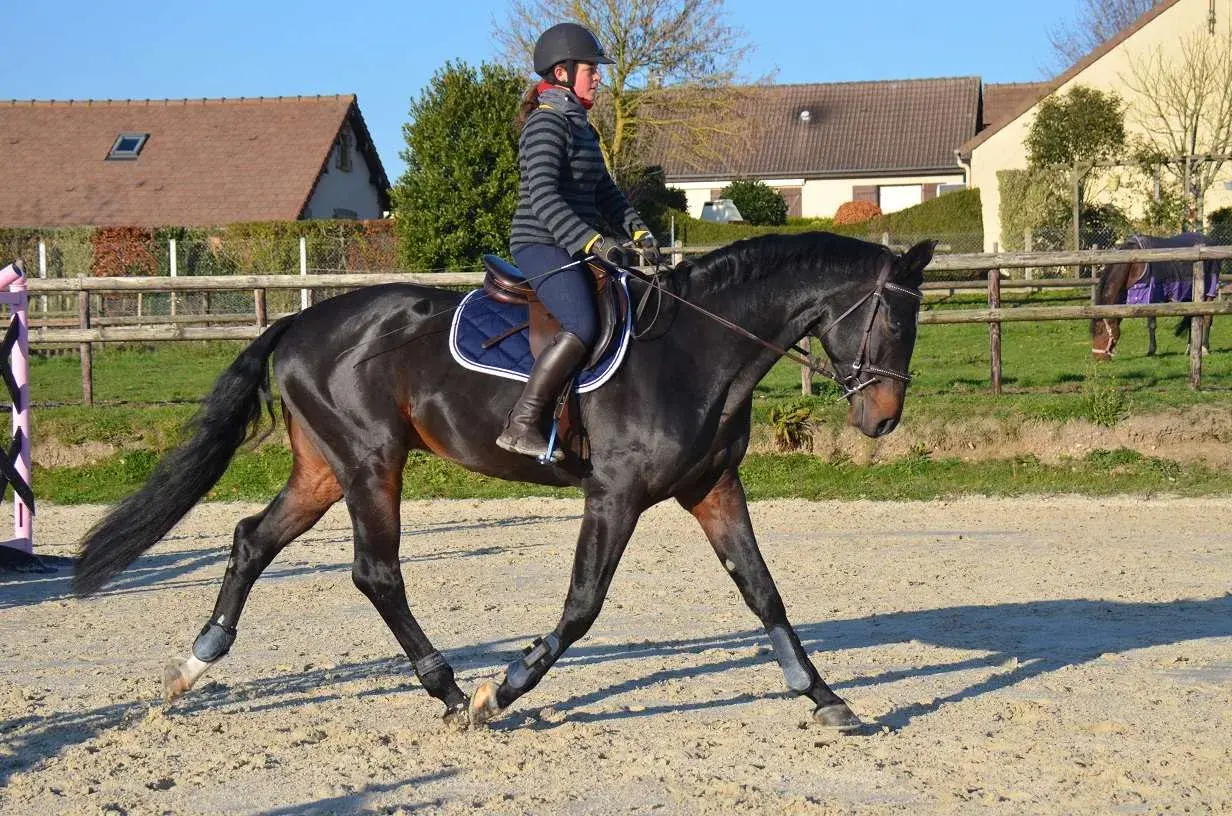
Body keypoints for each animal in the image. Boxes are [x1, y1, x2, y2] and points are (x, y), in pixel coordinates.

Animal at [71, 232, 935, 732]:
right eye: (894, 320)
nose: (884, 419)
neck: (696, 349)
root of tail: (299, 321)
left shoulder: (714, 487)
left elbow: (764, 595)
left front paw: (825, 698)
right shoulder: (615, 495)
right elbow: (582, 608)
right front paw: (503, 692)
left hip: (323, 470)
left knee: (253, 540)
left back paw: (194, 665)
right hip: (371, 462)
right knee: (376, 573)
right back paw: (452, 692)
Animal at [1091, 233, 1220, 359]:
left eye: (1101, 330)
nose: (1098, 358)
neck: (1134, 265)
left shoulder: (1151, 297)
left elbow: (1151, 325)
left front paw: (1151, 351)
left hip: (1208, 293)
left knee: (1207, 319)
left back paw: (1204, 348)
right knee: (1191, 319)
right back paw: (1189, 349)